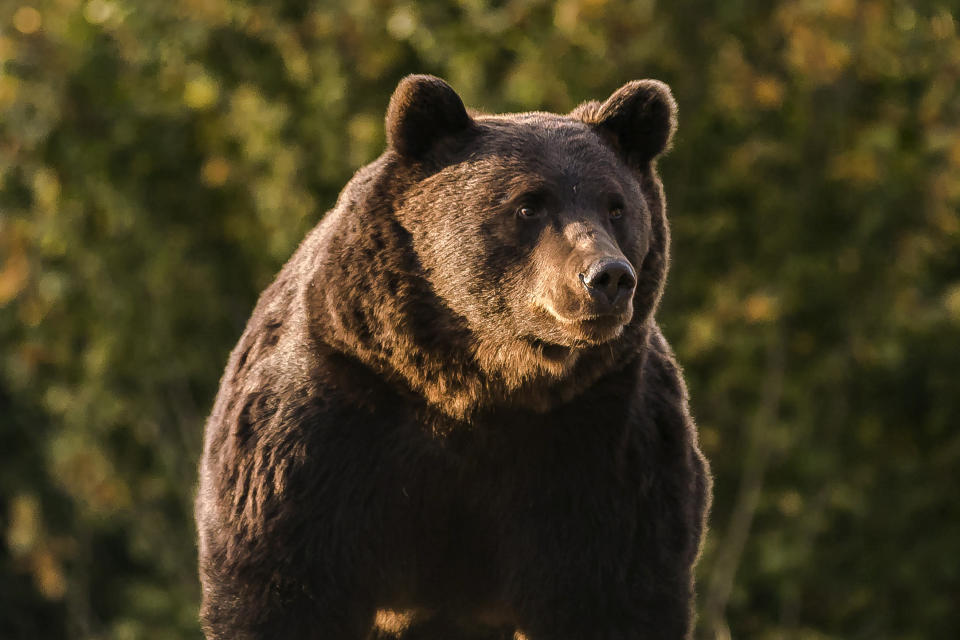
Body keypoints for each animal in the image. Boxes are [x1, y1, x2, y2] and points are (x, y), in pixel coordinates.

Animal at [195, 76, 708, 640]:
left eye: (616, 207)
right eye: (528, 205)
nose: (608, 276)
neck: (476, 384)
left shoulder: (602, 443)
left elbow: (612, 591)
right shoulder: (329, 423)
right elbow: (283, 583)